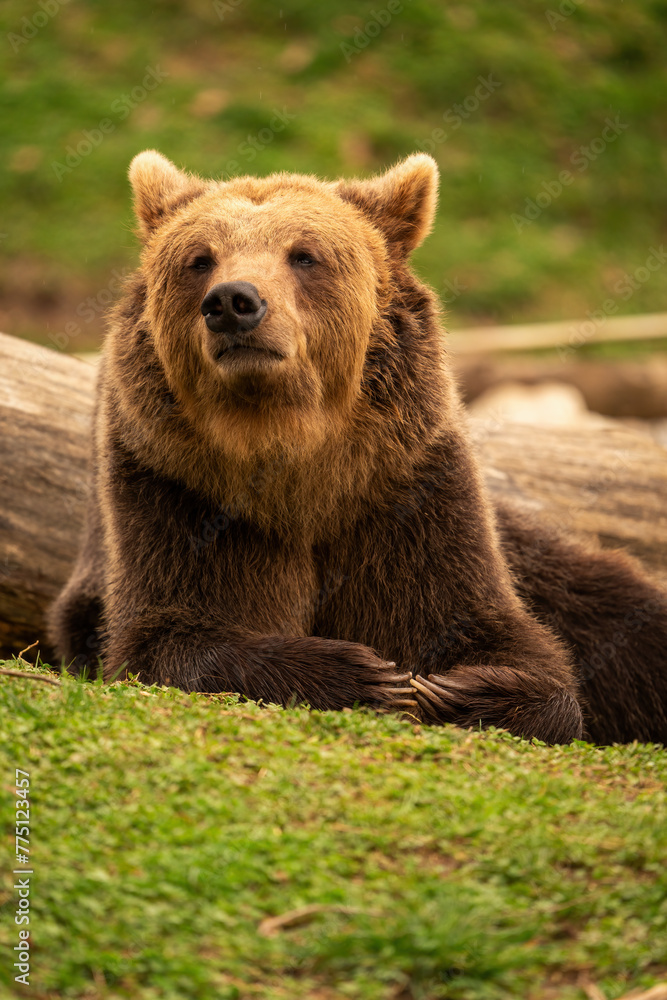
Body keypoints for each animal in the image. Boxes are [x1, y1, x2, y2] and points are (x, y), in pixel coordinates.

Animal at [49, 148, 667, 744]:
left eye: (304, 255)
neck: (291, 456)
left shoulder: (405, 494)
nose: (232, 302)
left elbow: (499, 634)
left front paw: (456, 690)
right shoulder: (179, 491)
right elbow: (167, 634)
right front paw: (362, 673)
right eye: (200, 259)